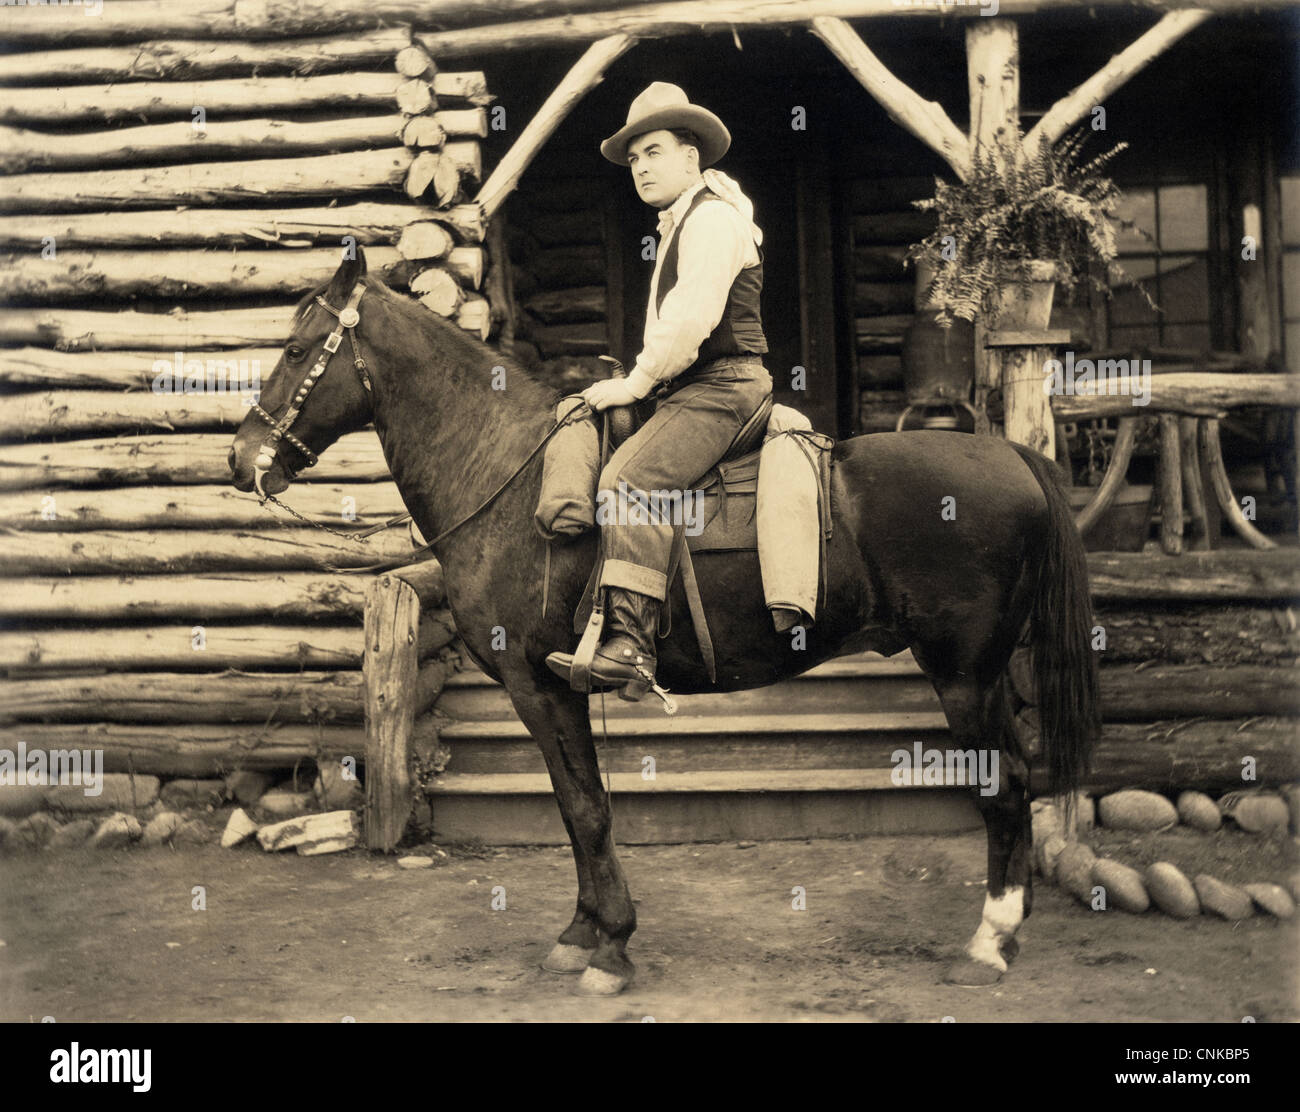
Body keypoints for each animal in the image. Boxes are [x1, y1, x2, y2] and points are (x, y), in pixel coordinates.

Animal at [231, 252, 1097, 998]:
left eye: (297, 347)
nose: (243, 459)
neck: (507, 473)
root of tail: (1014, 458)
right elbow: (579, 806)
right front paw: (583, 932)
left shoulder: (539, 685)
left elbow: (584, 807)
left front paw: (609, 943)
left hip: (964, 677)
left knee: (1006, 790)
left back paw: (988, 942)